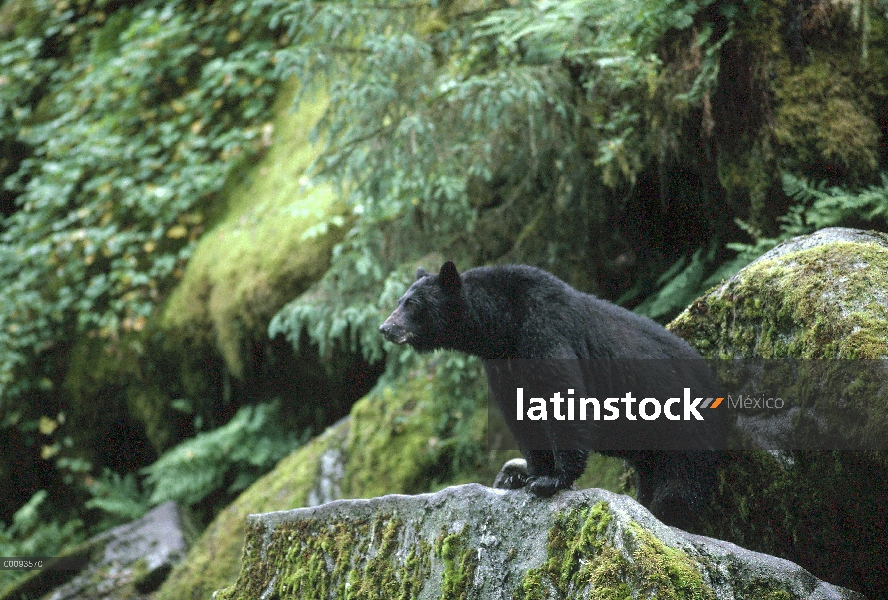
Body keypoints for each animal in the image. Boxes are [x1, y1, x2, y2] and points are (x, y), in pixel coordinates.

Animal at [378, 262, 724, 528]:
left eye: (412, 304)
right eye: (400, 300)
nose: (385, 328)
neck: (503, 325)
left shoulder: (545, 333)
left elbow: (563, 397)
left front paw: (551, 480)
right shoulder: (504, 365)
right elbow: (521, 413)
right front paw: (524, 476)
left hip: (683, 423)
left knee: (683, 480)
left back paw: (667, 514)